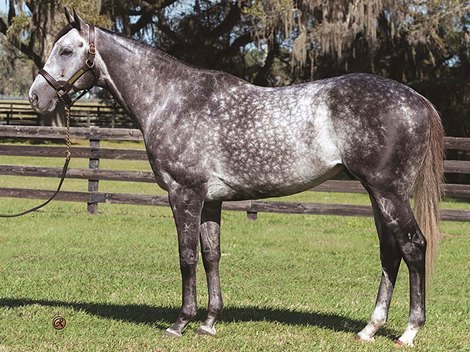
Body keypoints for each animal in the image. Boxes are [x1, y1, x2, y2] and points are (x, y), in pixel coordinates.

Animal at [29, 10, 444, 346]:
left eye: (66, 51)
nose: (35, 96)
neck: (172, 100)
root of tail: (418, 101)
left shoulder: (185, 194)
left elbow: (186, 256)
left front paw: (180, 323)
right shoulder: (211, 199)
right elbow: (211, 255)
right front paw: (209, 322)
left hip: (389, 193)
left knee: (413, 247)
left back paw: (409, 331)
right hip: (377, 194)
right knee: (390, 252)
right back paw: (369, 329)